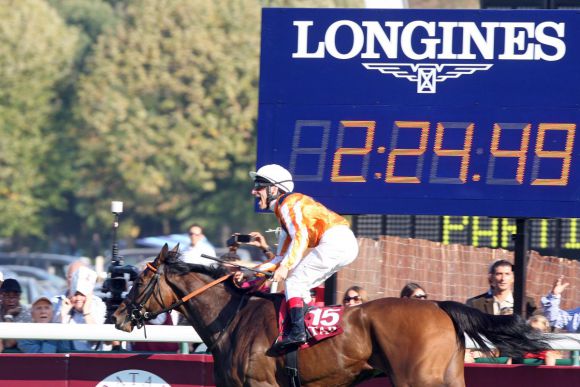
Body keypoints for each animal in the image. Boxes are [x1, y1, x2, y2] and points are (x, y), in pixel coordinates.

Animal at [113, 246, 548, 387]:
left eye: (141, 280)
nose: (117, 314)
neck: (233, 318)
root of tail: (438, 304)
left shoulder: (261, 385)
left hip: (417, 379)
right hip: (449, 376)